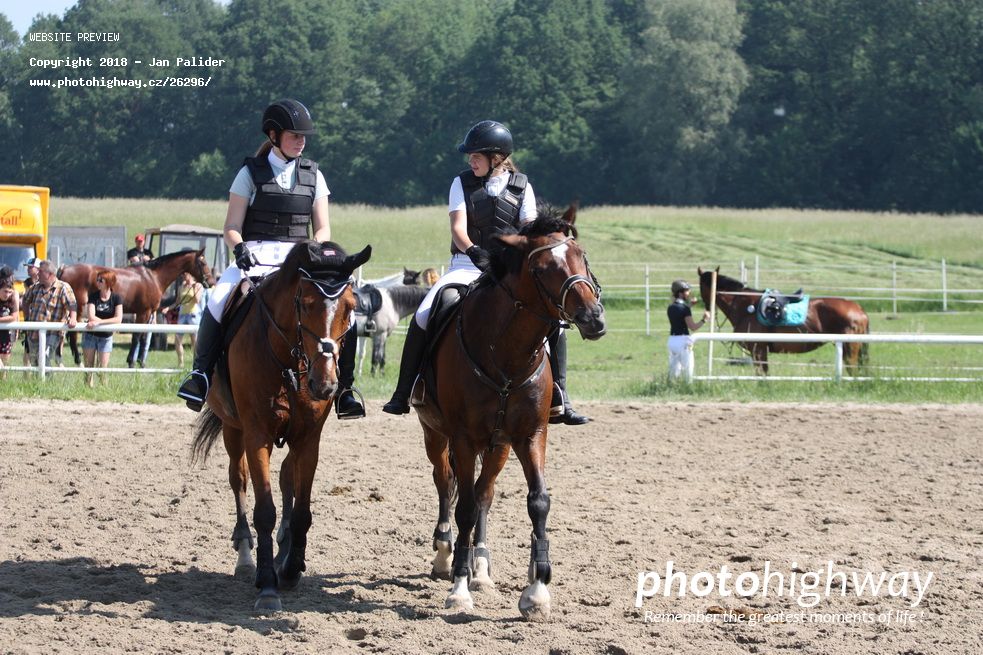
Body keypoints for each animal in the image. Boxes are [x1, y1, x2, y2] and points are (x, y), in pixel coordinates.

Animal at [59, 249, 213, 367]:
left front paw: (140, 362)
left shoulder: (149, 314)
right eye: (203, 262)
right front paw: (131, 362)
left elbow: (144, 338)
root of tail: (65, 269)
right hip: (78, 309)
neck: (153, 277)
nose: (211, 282)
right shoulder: (143, 312)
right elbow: (137, 337)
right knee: (73, 334)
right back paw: (79, 361)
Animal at [190, 240, 370, 612]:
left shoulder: (309, 438)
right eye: (305, 303)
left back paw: (285, 550)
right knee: (238, 478)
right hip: (233, 429)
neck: (290, 360)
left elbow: (301, 509)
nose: (325, 385)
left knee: (287, 476)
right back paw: (246, 555)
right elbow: (264, 510)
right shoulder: (257, 434)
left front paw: (289, 569)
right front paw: (268, 584)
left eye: (350, 307)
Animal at [415, 205, 605, 620]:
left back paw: (482, 568)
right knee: (445, 482)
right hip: (435, 433)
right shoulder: (463, 438)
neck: (505, 351)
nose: (593, 317)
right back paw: (445, 554)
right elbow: (464, 508)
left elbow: (537, 502)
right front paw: (458, 588)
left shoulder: (529, 435)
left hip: (499, 446)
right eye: (542, 269)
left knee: (484, 493)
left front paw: (536, 590)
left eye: (580, 254)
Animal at [698, 267, 870, 375]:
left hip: (849, 348)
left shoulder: (758, 350)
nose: (707, 308)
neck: (746, 306)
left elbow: (762, 374)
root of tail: (859, 309)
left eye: (701, 286)